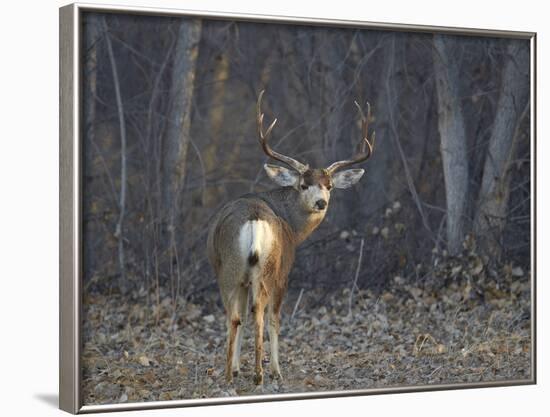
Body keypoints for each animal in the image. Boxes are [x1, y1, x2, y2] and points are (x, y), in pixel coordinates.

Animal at [209, 90, 378, 384]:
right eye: (303, 184)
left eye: (329, 185)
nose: (321, 202)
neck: (291, 223)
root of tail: (254, 220)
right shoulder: (285, 270)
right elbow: (275, 319)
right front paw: (276, 370)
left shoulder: (241, 279)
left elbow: (241, 318)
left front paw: (239, 367)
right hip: (266, 269)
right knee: (263, 313)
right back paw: (261, 373)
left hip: (233, 269)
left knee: (236, 315)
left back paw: (232, 373)